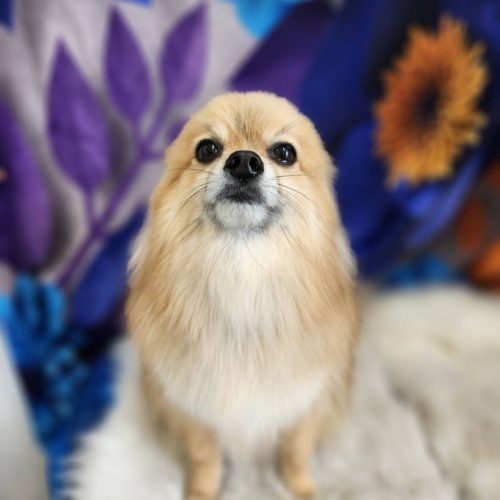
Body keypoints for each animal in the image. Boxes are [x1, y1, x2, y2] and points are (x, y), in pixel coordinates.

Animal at [127, 92, 358, 499]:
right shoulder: (192, 405)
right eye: (207, 149)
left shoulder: (306, 400)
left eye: (284, 153)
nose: (244, 161)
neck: (241, 271)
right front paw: (200, 493)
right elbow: (206, 458)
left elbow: (295, 453)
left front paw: (302, 490)